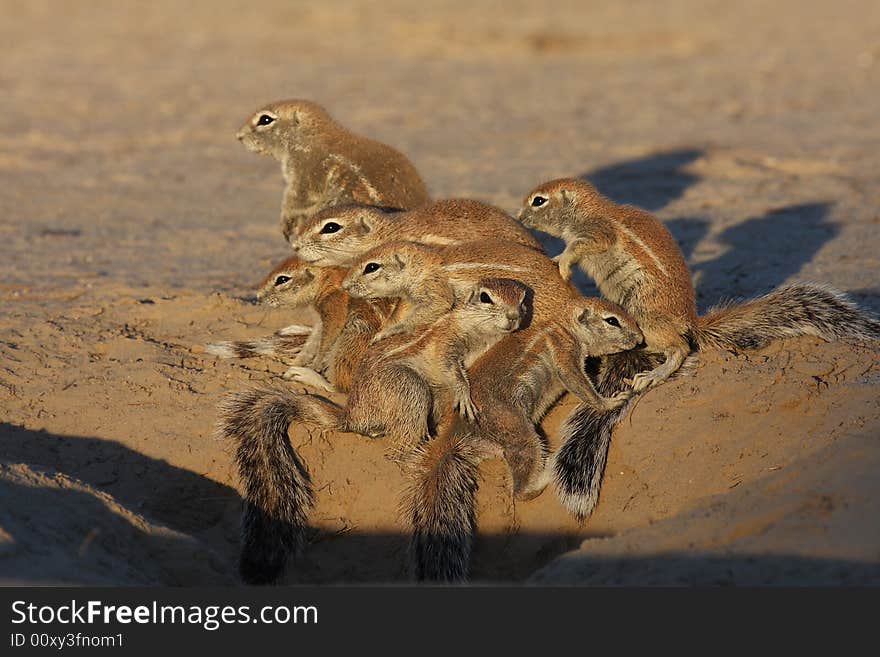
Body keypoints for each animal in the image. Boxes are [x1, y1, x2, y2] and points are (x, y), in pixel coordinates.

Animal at [220, 274, 528, 580]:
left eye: (522, 299)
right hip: (406, 386)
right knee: (398, 446)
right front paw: (464, 392)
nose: (514, 317)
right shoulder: (447, 343)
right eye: (486, 298)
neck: (478, 331)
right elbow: (450, 366)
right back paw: (418, 451)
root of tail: (352, 416)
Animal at [234, 100, 426, 238]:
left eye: (265, 119)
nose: (239, 136)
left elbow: (294, 202)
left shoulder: (302, 175)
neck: (308, 138)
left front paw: (285, 224)